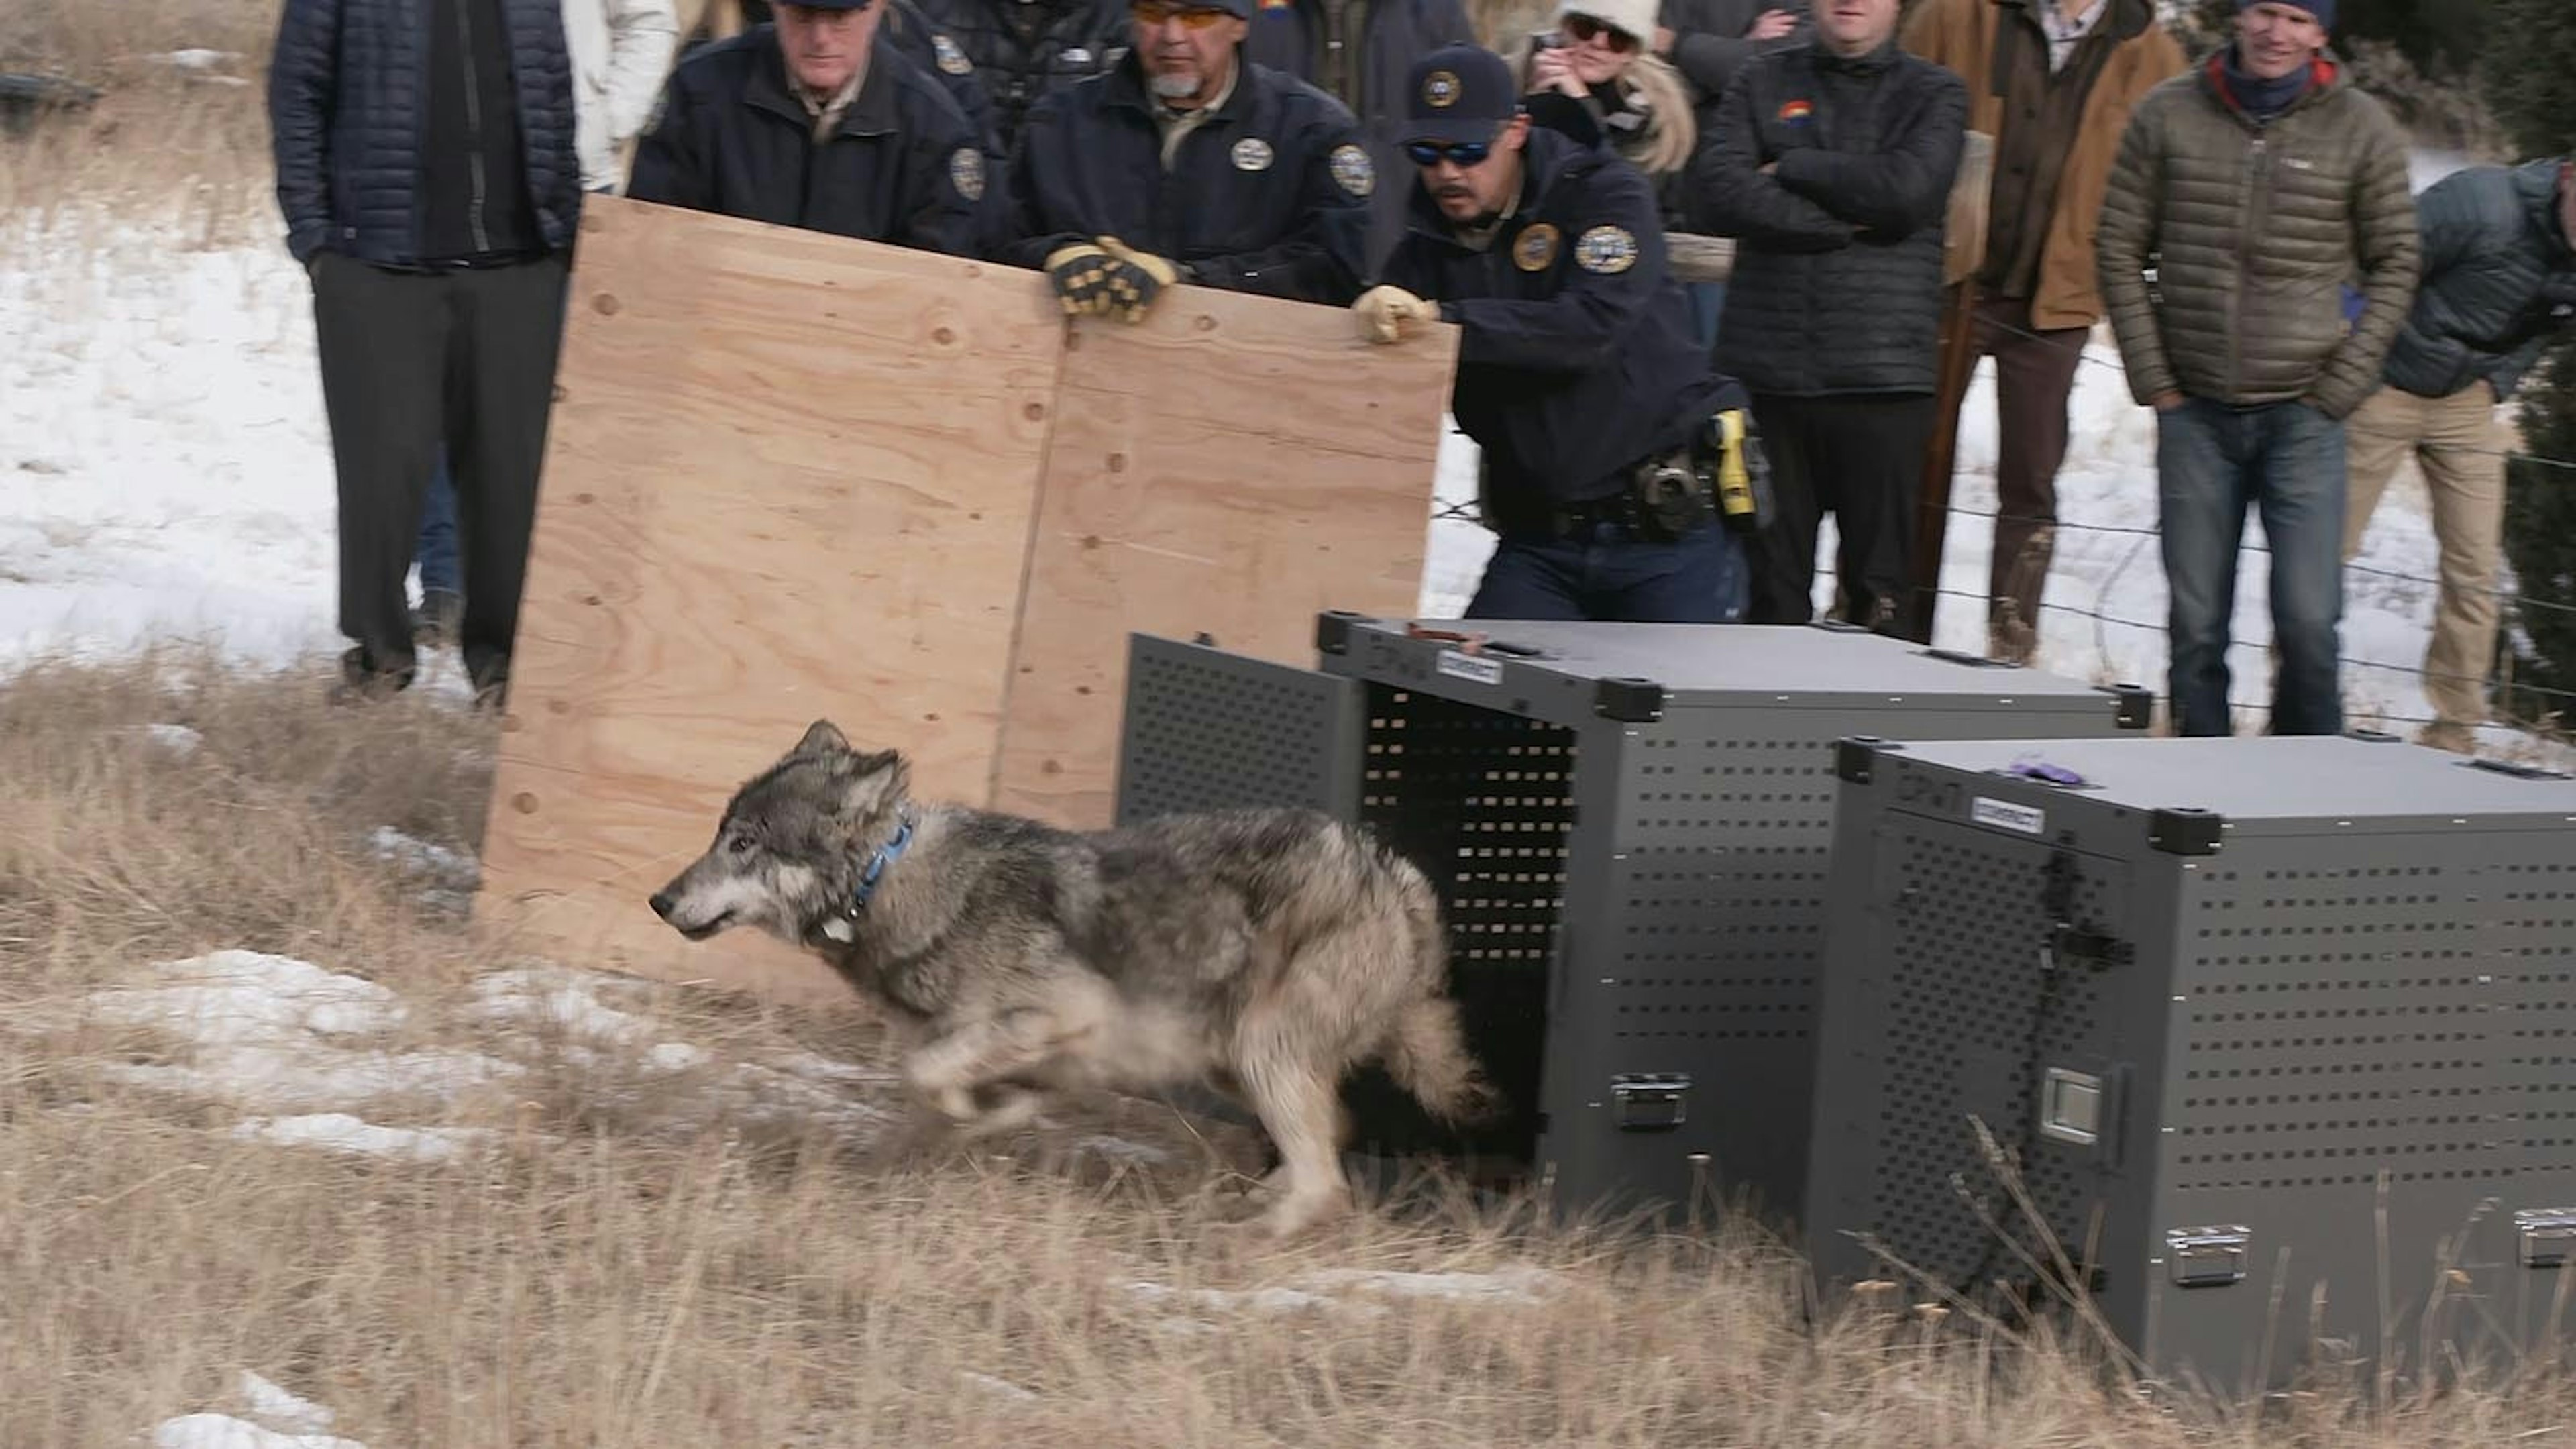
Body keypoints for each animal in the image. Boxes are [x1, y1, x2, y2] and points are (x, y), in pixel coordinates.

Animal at [648, 720, 1498, 1237]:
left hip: (1262, 1053)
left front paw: (969, 1114)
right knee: (1330, 1142)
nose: (659, 900)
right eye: (719, 835)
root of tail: (1396, 875)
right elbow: (941, 1094)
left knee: (1328, 1180)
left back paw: (1241, 1239)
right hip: (1236, 1066)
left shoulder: (1063, 1015)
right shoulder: (1025, 1056)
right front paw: (969, 1127)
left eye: (744, 843)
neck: (886, 882)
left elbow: (928, 1075)